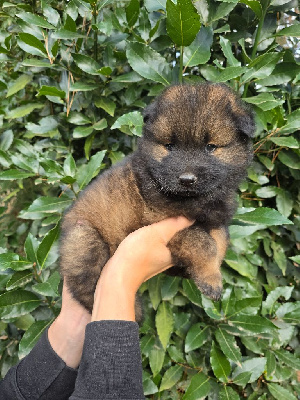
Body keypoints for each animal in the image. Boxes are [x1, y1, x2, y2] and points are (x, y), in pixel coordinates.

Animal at [59, 83, 254, 314]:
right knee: (87, 286)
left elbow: (221, 240)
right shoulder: (164, 221)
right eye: (169, 146)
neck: (195, 199)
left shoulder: (215, 218)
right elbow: (203, 242)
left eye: (210, 147)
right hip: (84, 238)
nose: (186, 179)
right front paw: (211, 280)